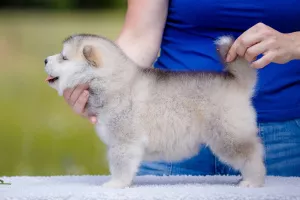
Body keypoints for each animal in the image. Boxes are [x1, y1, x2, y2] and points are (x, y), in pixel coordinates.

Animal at [44, 33, 264, 188]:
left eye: (64, 57)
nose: (45, 60)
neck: (111, 82)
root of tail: (238, 82)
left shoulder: (124, 141)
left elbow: (120, 165)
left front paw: (115, 184)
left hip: (229, 135)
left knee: (252, 154)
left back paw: (253, 181)